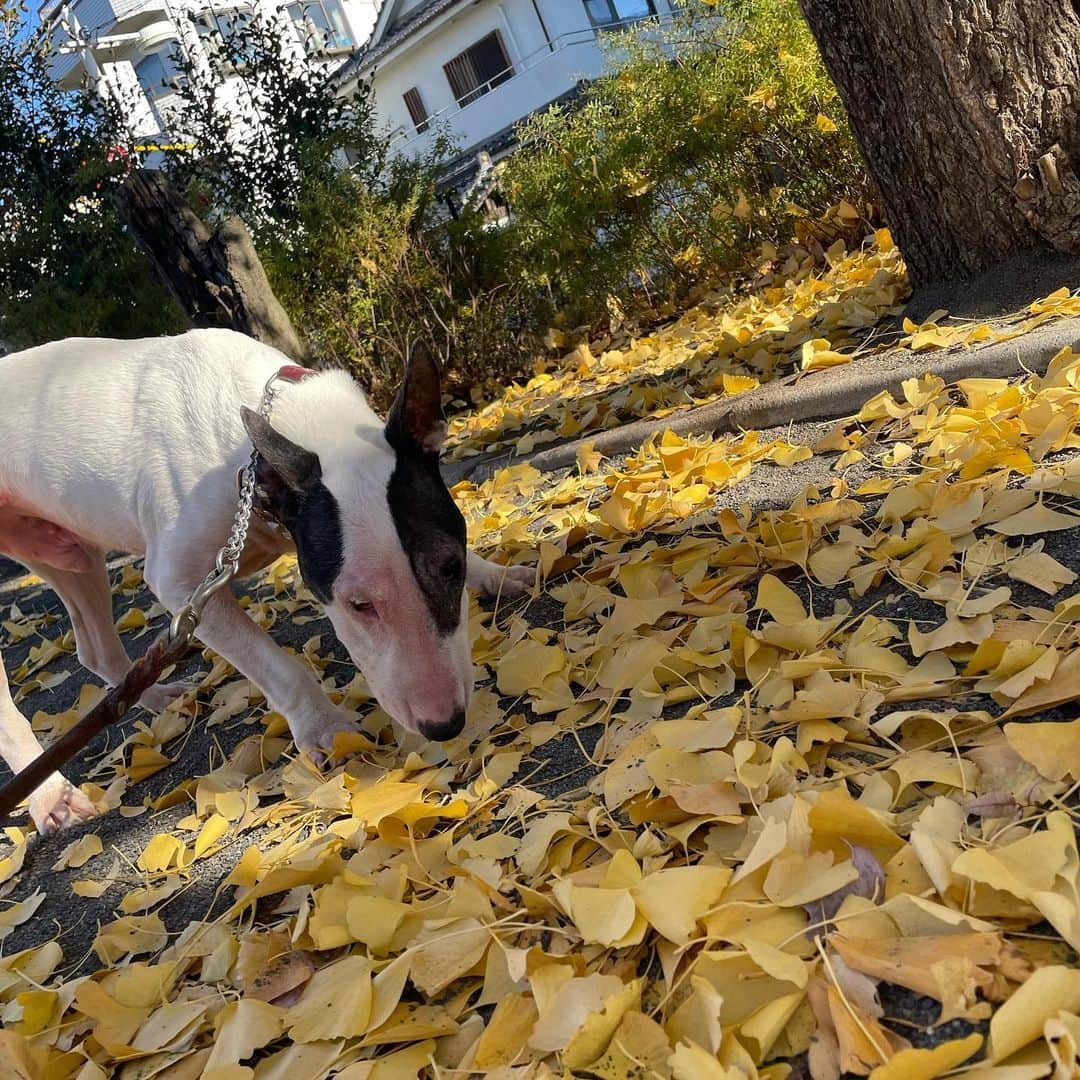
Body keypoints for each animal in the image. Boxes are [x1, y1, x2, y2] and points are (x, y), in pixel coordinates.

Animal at [0, 328, 531, 833]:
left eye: (450, 567)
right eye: (358, 604)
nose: (445, 724)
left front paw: (495, 572)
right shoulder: (185, 586)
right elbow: (275, 665)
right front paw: (324, 727)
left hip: (69, 552)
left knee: (96, 647)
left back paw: (156, 697)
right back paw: (52, 796)